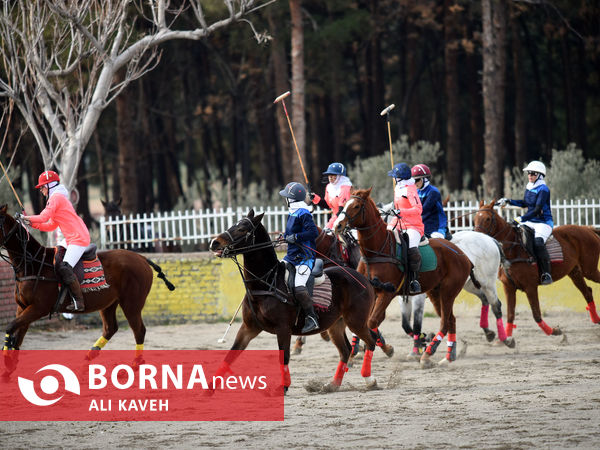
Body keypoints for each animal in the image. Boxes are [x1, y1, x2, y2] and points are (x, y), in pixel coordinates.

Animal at [0, 206, 175, 374]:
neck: (33, 264)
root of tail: (142, 258)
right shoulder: (22, 306)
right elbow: (17, 334)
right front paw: (9, 367)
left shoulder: (39, 308)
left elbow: (11, 328)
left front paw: (7, 363)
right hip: (108, 303)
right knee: (110, 329)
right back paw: (87, 360)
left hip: (132, 304)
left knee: (139, 331)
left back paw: (135, 364)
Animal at [210, 209, 380, 392]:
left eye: (242, 229)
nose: (214, 242)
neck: (267, 282)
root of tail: (363, 278)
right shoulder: (248, 328)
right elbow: (230, 354)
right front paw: (209, 388)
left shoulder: (283, 328)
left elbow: (284, 357)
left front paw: (284, 386)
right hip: (336, 324)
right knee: (345, 350)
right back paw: (333, 384)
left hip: (356, 320)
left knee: (370, 341)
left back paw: (370, 380)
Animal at [332, 188, 474, 368]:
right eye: (345, 204)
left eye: (356, 206)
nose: (338, 225)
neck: (377, 251)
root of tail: (463, 255)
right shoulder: (370, 293)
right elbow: (367, 323)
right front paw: (355, 353)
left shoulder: (387, 293)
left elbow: (372, 322)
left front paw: (385, 348)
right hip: (435, 292)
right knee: (451, 320)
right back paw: (449, 356)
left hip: (449, 291)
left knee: (445, 322)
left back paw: (427, 354)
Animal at [398, 230, 516, 360]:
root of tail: (490, 239)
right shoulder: (403, 299)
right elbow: (405, 325)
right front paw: (424, 340)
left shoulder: (419, 298)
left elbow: (416, 324)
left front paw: (418, 348)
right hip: (470, 284)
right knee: (484, 298)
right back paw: (488, 332)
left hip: (487, 283)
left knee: (496, 305)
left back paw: (505, 339)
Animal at [474, 199, 600, 340]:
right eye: (475, 218)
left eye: (488, 219)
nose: (476, 237)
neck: (513, 249)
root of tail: (588, 229)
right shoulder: (509, 287)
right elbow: (510, 314)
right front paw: (506, 339)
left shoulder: (530, 287)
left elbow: (536, 314)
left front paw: (554, 331)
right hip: (575, 272)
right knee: (587, 292)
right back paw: (596, 319)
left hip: (589, 270)